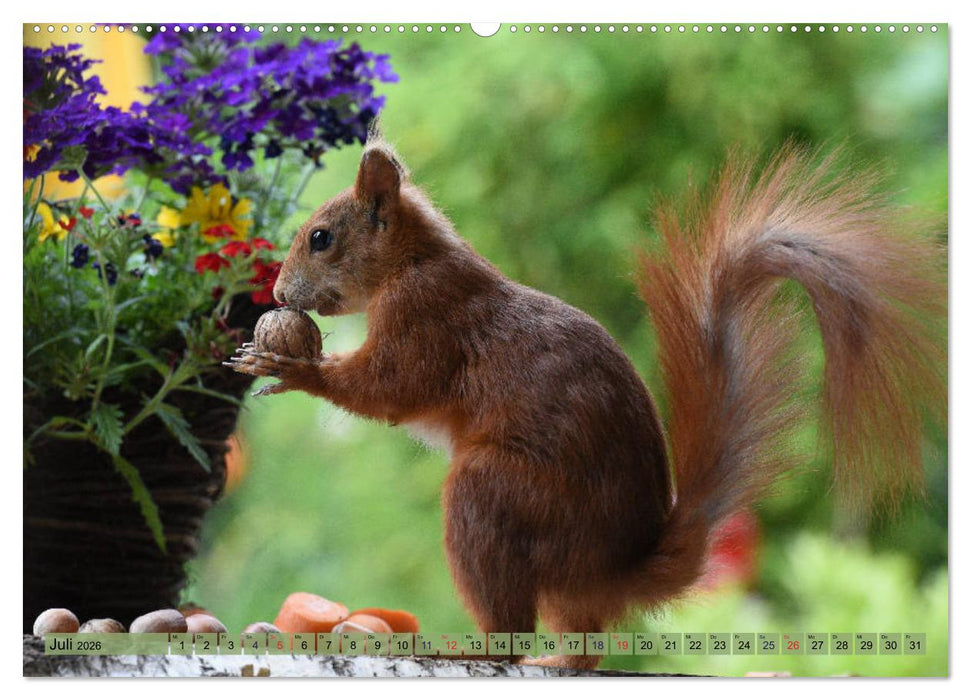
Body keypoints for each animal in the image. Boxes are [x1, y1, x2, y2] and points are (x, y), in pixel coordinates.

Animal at [227, 137, 946, 669]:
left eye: (321, 238)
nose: (280, 295)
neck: (414, 260)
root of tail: (615, 566)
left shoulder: (428, 319)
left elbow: (391, 387)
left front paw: (292, 367)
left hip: (496, 495)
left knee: (512, 637)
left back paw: (467, 650)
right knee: (584, 649)